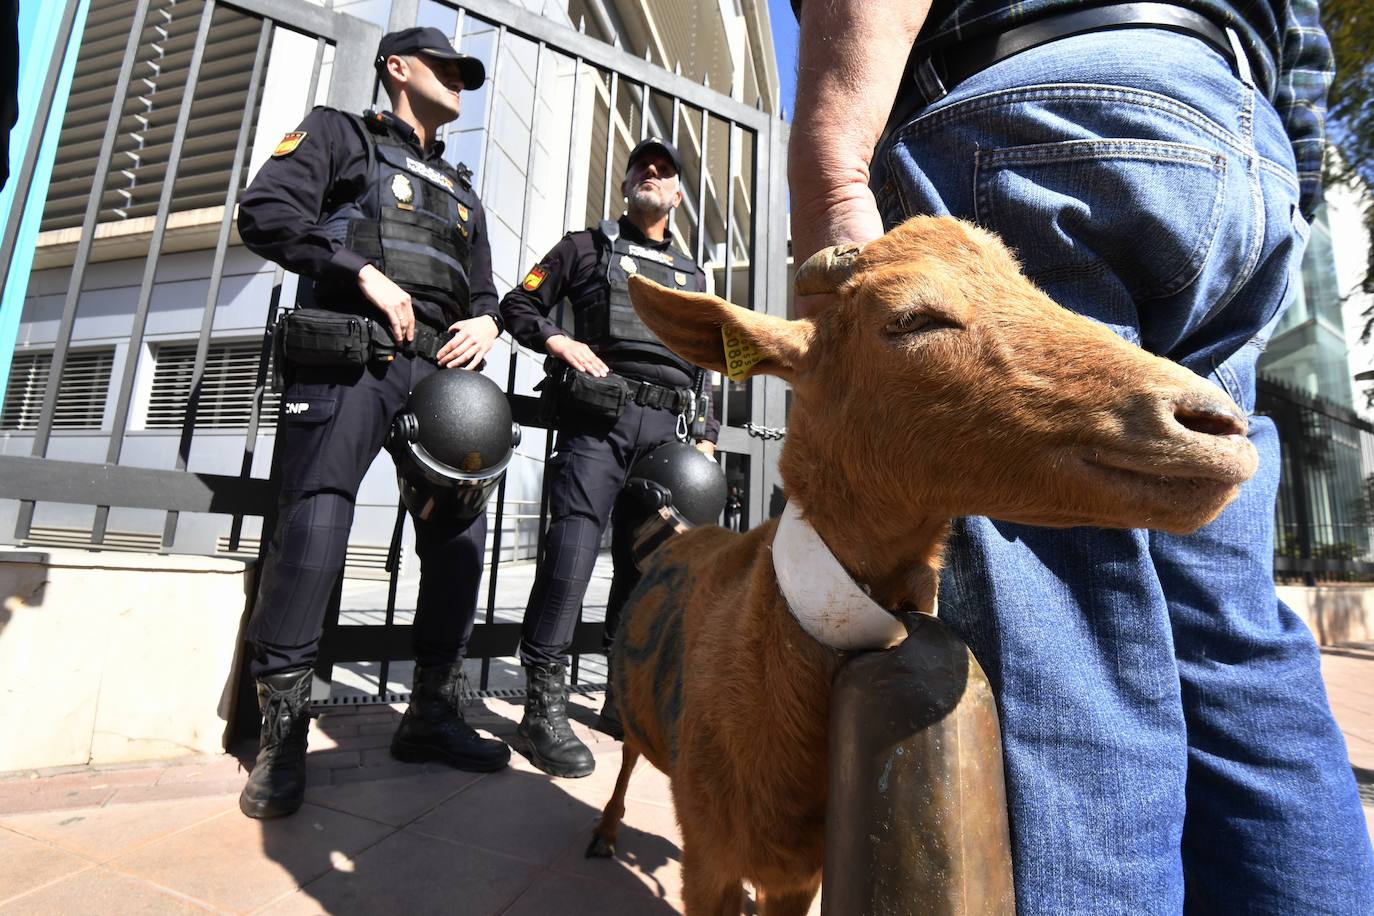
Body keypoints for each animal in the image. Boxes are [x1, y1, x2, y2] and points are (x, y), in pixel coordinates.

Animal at [590, 218, 1258, 911]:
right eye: (912, 319)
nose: (1216, 426)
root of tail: (678, 531)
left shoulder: (799, 874)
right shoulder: (708, 859)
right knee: (627, 756)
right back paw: (606, 832)